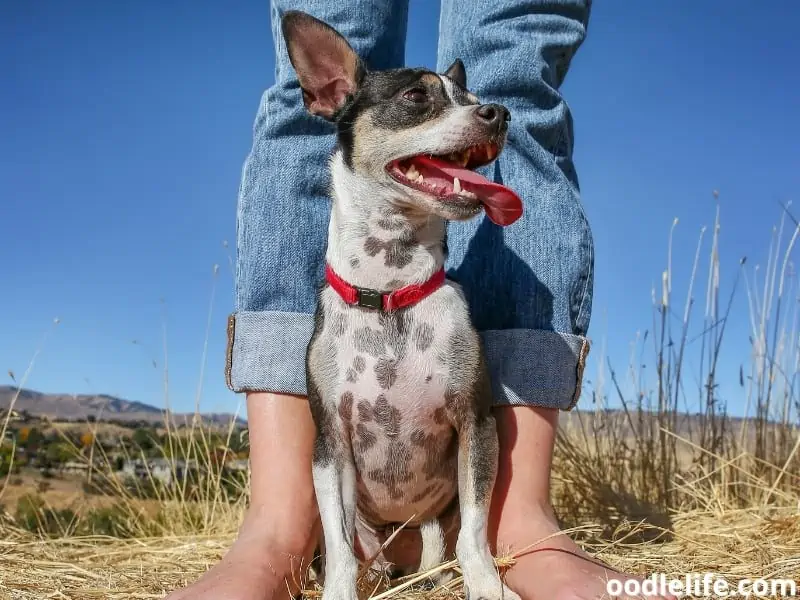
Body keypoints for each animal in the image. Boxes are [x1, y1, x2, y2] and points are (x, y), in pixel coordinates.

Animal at [282, 9, 524, 600]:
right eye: (417, 96)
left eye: (471, 96)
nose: (499, 111)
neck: (390, 289)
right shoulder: (330, 445)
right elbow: (339, 545)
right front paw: (339, 590)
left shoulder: (477, 425)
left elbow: (475, 535)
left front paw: (487, 586)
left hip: (431, 519)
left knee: (439, 543)